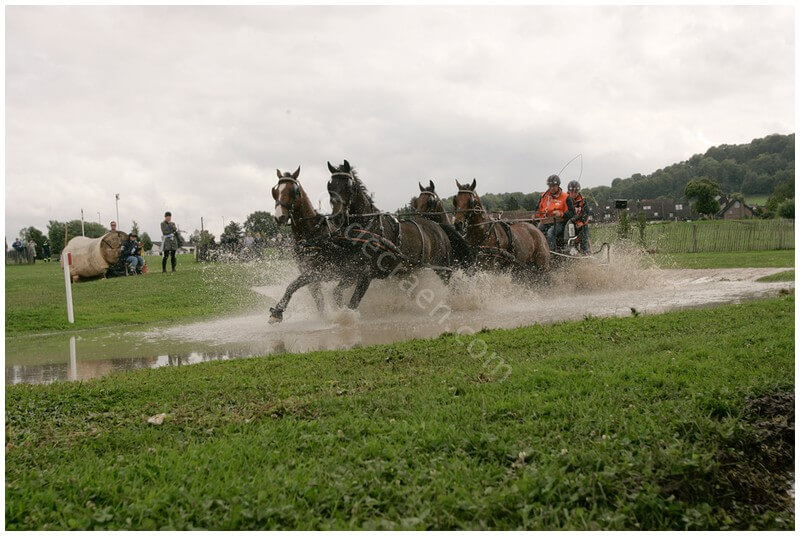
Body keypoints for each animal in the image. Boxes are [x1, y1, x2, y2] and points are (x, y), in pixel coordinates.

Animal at [268, 166, 363, 323]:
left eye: (294, 191)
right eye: (275, 191)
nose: (280, 216)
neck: (311, 234)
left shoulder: (316, 271)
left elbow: (292, 285)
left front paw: (277, 312)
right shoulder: (306, 271)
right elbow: (317, 297)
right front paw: (324, 316)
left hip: (351, 274)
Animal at [326, 160, 455, 310]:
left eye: (348, 186)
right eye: (329, 186)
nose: (337, 217)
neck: (367, 228)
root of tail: (438, 226)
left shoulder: (367, 272)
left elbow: (354, 302)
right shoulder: (351, 271)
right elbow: (337, 293)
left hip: (443, 268)